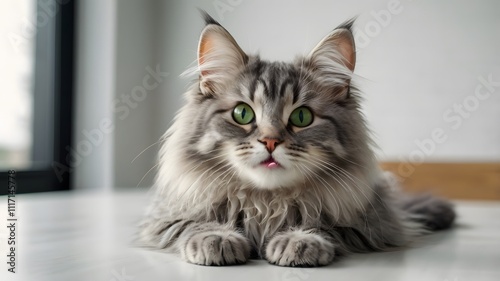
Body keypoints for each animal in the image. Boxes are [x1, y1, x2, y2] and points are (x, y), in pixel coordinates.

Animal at [138, 13, 458, 266]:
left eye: (302, 117)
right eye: (242, 113)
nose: (270, 141)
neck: (266, 204)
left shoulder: (373, 224)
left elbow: (323, 223)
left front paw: (299, 240)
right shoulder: (163, 218)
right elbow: (195, 223)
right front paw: (216, 237)